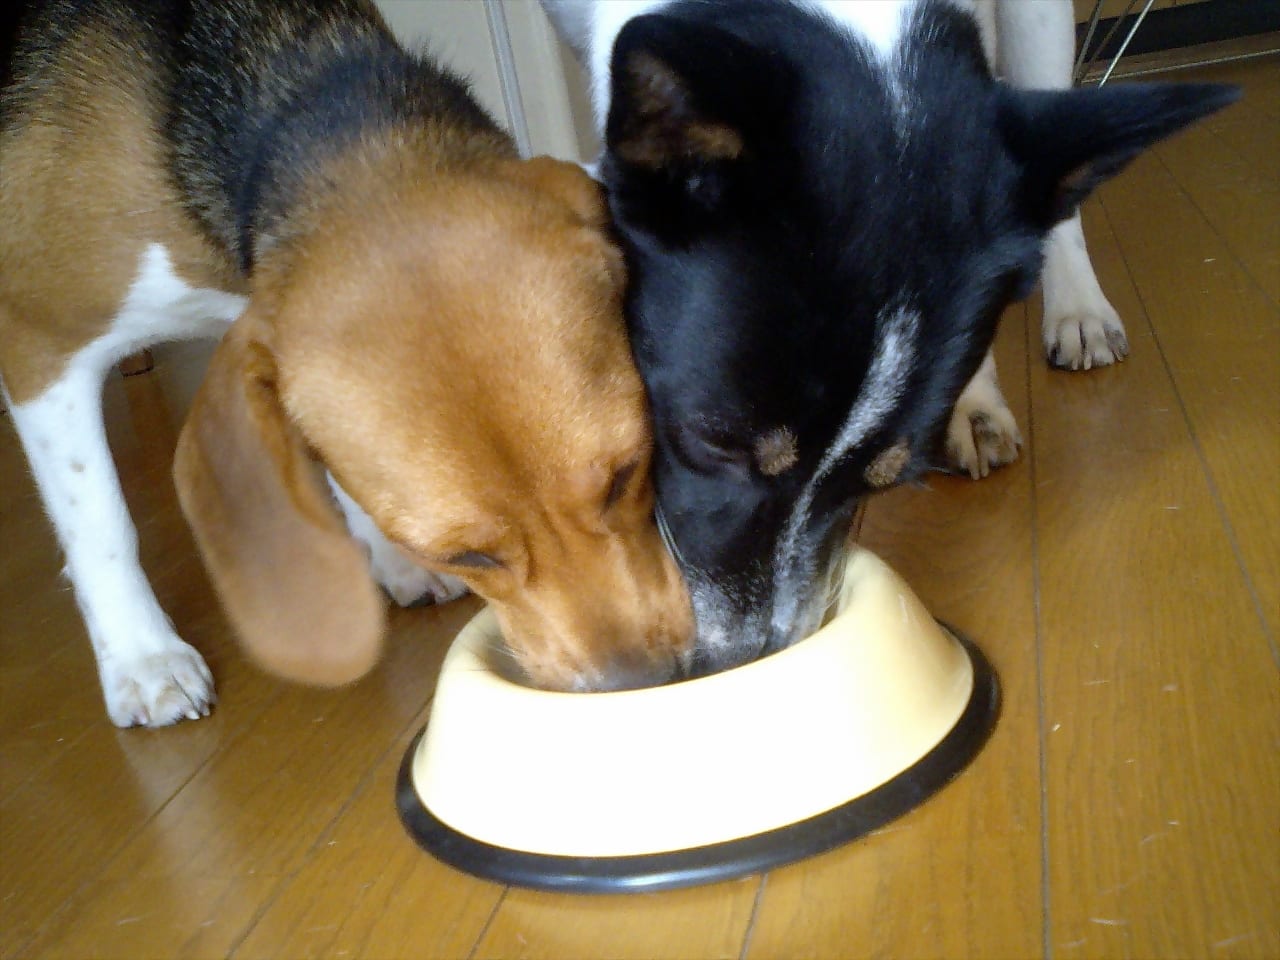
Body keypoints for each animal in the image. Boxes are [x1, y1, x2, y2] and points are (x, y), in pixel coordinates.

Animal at [0, 0, 691, 727]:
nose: (645, 685)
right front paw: (141, 657)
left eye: (628, 473)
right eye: (466, 554)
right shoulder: (41, 343)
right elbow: (99, 518)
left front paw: (386, 556)